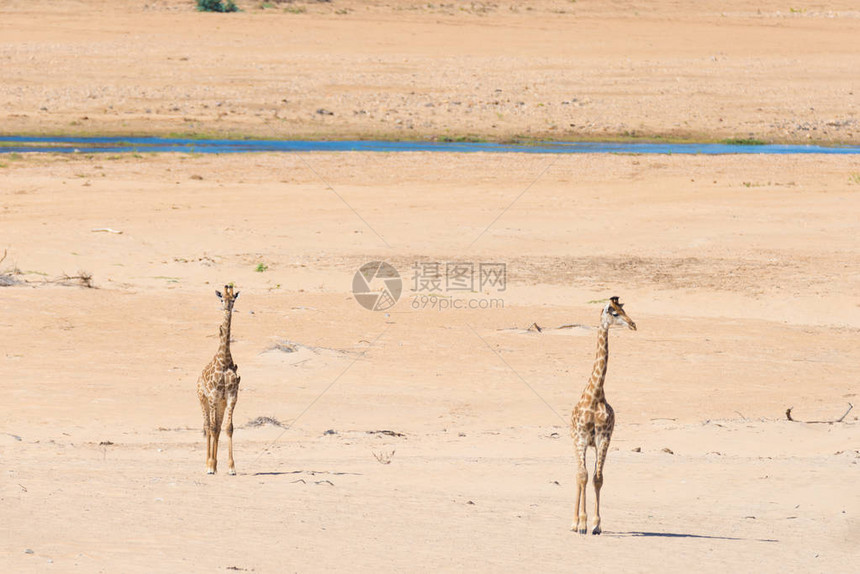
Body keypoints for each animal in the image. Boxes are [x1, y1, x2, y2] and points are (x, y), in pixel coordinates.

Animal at [576, 296, 636, 536]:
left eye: (625, 310)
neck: (595, 395)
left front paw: (596, 524)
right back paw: (574, 522)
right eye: (614, 313)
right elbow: (583, 476)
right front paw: (582, 524)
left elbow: (597, 478)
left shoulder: (603, 439)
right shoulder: (582, 438)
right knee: (577, 475)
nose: (633, 324)